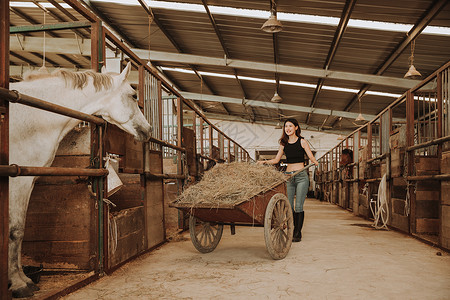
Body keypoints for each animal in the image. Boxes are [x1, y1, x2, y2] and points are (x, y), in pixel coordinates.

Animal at [7, 63, 151, 298]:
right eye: (133, 95)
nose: (148, 130)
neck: (35, 115)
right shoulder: (18, 178)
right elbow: (16, 230)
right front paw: (20, 285)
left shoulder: (28, 180)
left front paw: (21, 279)